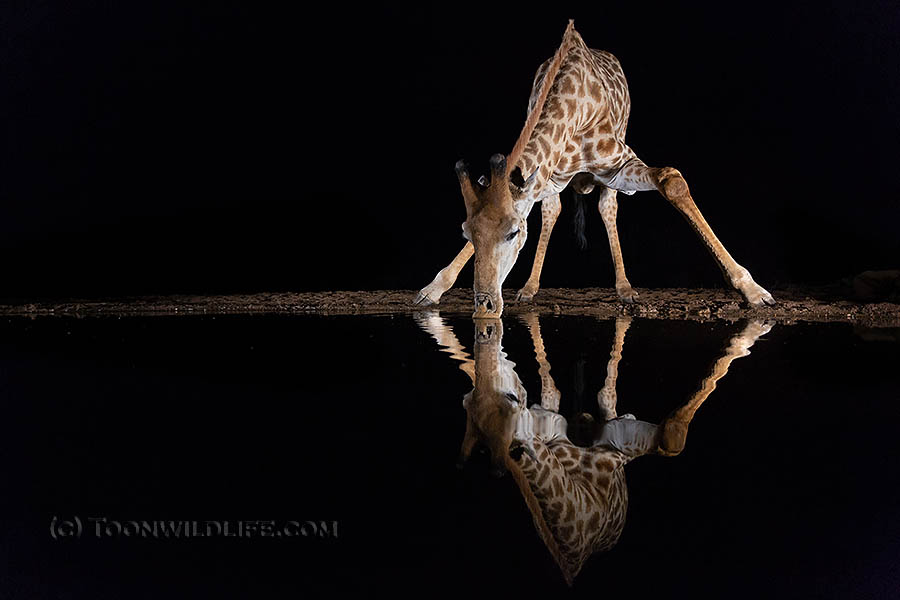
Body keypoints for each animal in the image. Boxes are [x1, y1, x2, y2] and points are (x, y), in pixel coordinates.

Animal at [414, 21, 775, 318]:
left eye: (513, 233)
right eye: (467, 233)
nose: (485, 307)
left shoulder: (619, 165)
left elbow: (671, 180)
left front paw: (753, 291)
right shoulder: (543, 176)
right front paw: (431, 290)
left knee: (606, 206)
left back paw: (625, 288)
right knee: (553, 211)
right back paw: (529, 288)